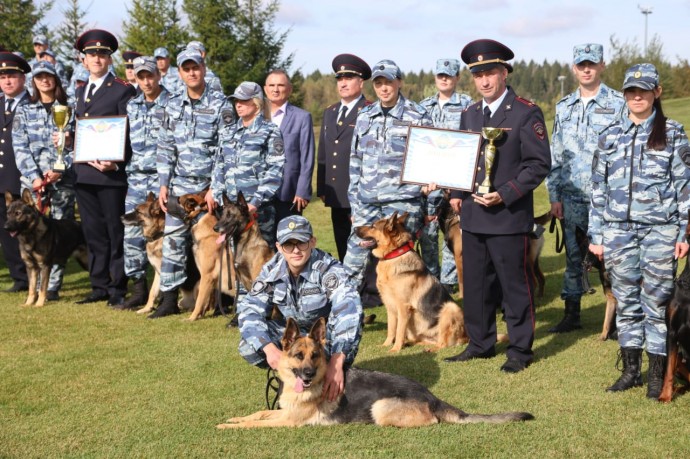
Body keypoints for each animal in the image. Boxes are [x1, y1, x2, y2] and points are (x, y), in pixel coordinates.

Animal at [215, 318, 532, 430]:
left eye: (315, 356)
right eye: (298, 355)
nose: (307, 374)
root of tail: (431, 396)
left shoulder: (288, 421)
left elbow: (256, 424)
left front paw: (228, 427)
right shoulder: (282, 412)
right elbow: (258, 414)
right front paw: (233, 419)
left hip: (379, 407)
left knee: (431, 421)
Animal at [354, 212, 468, 352]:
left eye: (372, 226)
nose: (354, 228)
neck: (393, 256)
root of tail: (466, 336)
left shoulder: (403, 307)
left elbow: (399, 331)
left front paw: (395, 349)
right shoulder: (390, 307)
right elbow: (391, 329)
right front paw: (386, 345)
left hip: (450, 308)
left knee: (443, 344)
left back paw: (430, 349)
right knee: (422, 340)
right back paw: (412, 344)